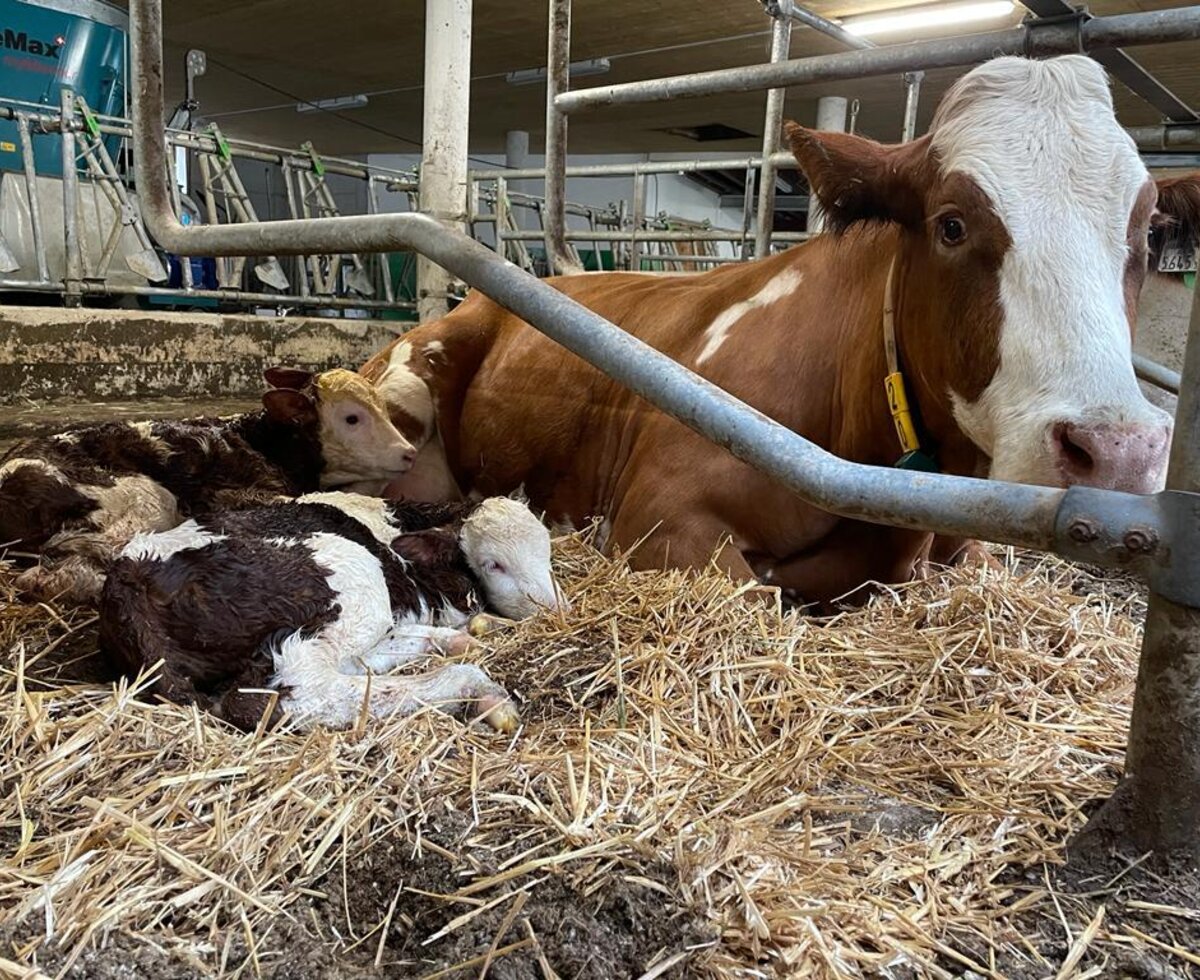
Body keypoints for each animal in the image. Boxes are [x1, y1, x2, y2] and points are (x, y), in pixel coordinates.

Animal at [0, 367, 416, 605]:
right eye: (351, 418)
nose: (409, 453)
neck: (260, 440)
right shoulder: (234, 492)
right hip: (143, 499)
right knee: (54, 574)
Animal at [99, 493, 566, 732]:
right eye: (494, 564)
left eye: (546, 550)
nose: (556, 611)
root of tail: (129, 573)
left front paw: (462, 636)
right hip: (353, 580)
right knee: (283, 693)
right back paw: (474, 688)